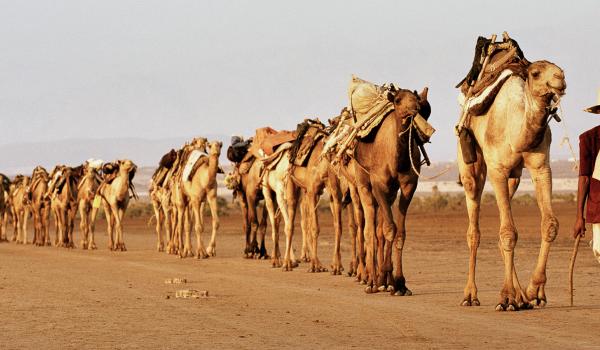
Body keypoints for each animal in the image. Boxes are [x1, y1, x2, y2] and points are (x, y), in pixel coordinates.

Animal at [352, 86, 432, 294]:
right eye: (397, 100)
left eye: (417, 100)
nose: (414, 108)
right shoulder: (378, 185)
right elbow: (389, 229)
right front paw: (381, 278)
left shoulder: (408, 186)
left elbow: (399, 231)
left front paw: (399, 283)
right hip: (363, 184)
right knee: (369, 229)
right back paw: (372, 281)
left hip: (390, 193)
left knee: (379, 230)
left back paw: (384, 280)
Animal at [460, 60, 568, 312]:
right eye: (536, 73)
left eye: (559, 69)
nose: (560, 79)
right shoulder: (497, 170)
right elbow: (508, 232)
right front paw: (507, 297)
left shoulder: (541, 167)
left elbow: (549, 224)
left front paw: (534, 292)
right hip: (470, 164)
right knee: (474, 229)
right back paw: (470, 295)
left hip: (514, 178)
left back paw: (521, 298)